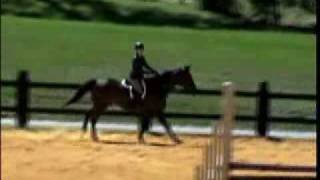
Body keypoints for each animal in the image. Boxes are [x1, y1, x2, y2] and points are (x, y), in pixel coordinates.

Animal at [63, 65, 196, 144]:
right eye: (188, 76)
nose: (195, 88)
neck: (157, 86)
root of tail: (96, 81)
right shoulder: (154, 111)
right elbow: (155, 125)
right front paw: (142, 139)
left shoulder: (154, 112)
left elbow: (160, 125)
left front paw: (176, 139)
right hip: (100, 105)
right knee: (91, 116)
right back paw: (88, 135)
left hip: (101, 105)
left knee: (91, 117)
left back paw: (93, 136)